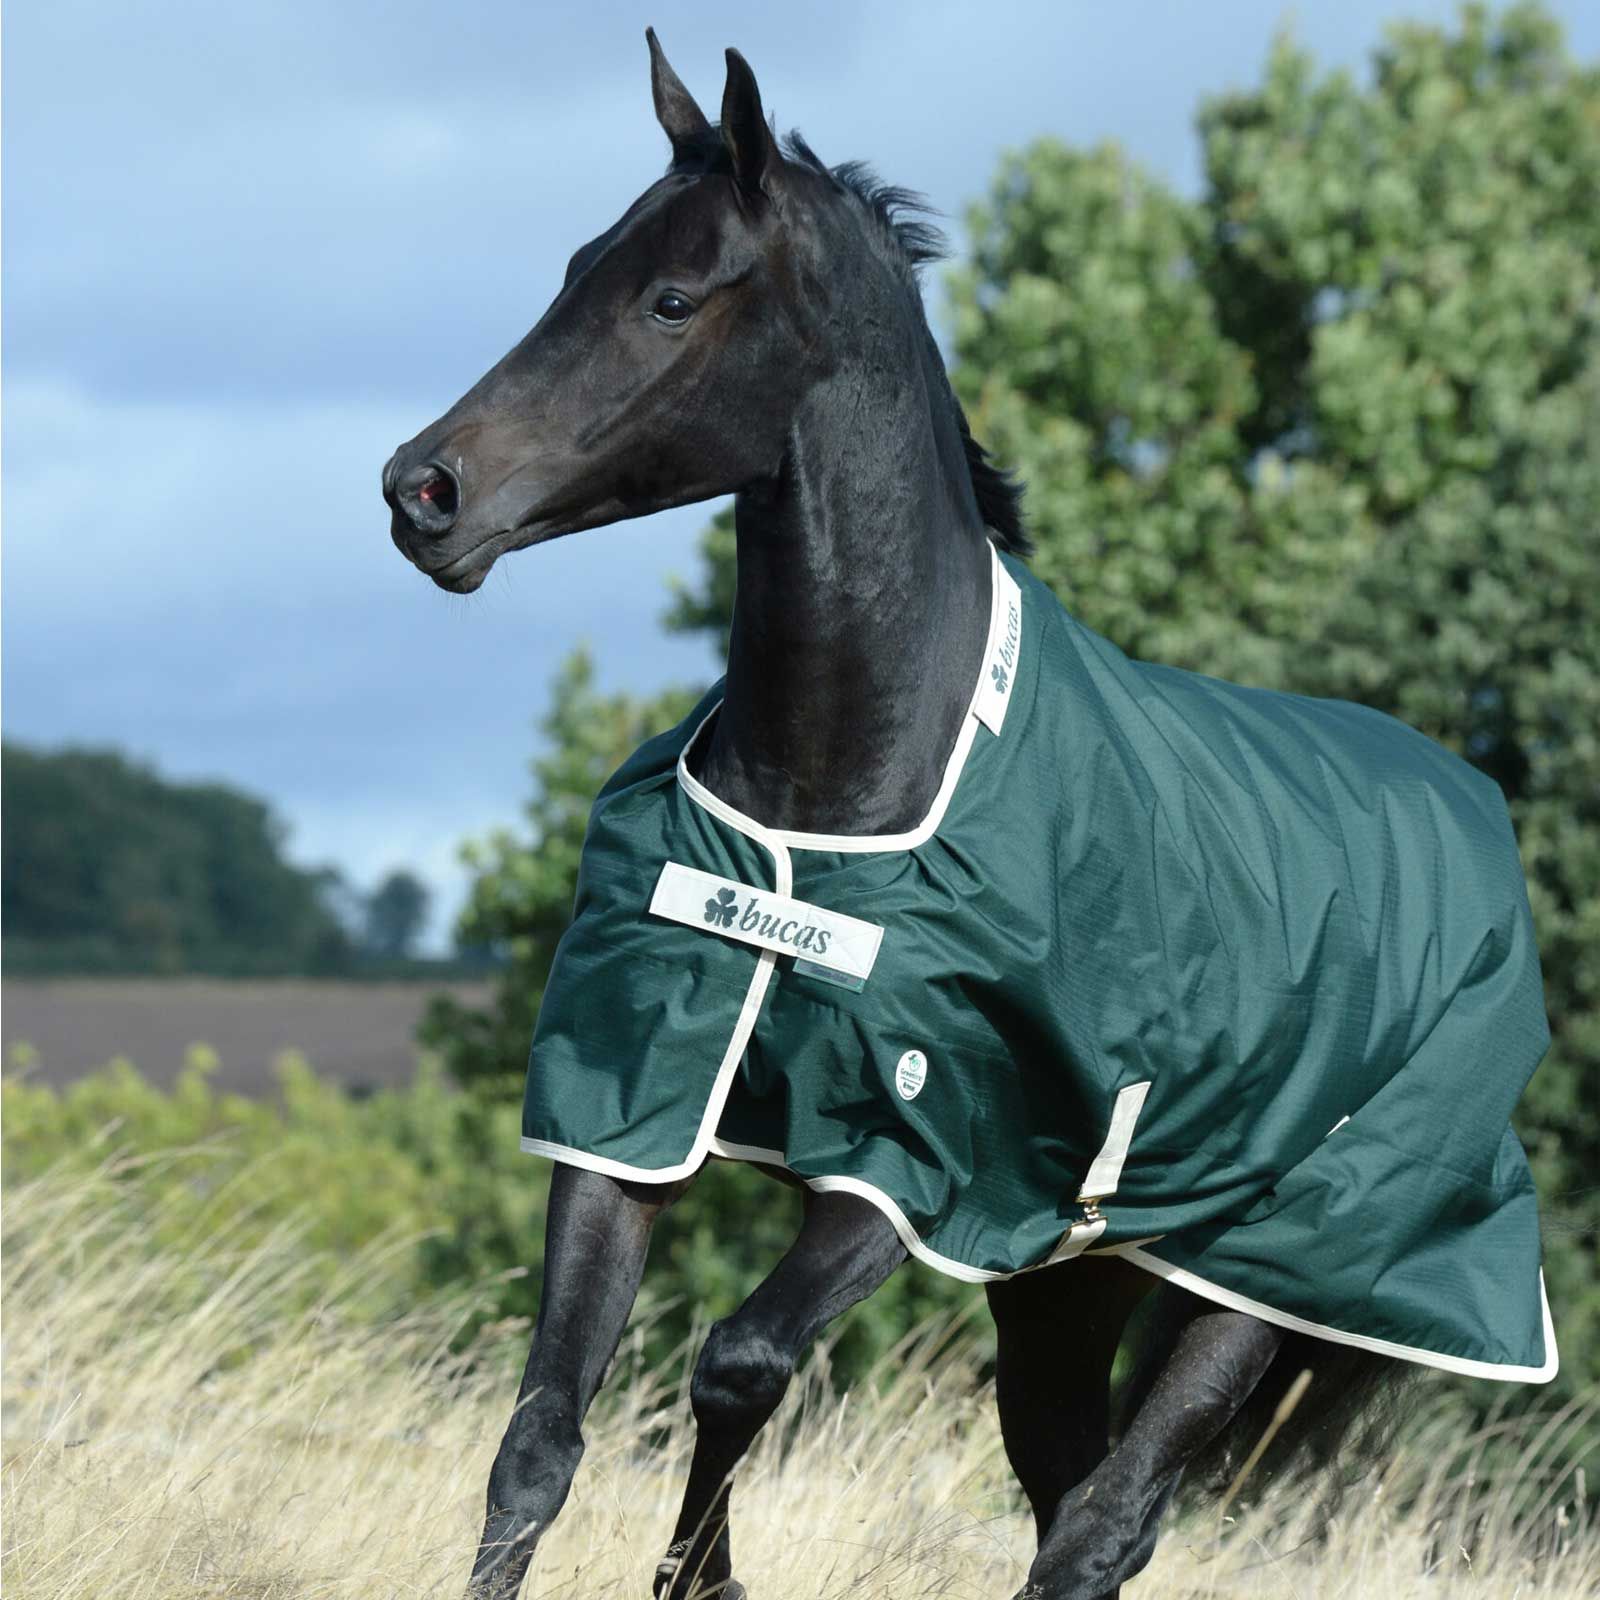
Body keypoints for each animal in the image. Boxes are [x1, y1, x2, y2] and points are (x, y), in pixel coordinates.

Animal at [383, 34, 1556, 1600]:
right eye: (578, 266)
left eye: (671, 297)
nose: (423, 491)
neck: (837, 809)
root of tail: (1476, 821)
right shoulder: (627, 1114)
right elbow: (537, 1440)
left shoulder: (926, 1167)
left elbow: (737, 1362)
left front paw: (707, 1575)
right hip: (1072, 1288)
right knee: (1073, 1499)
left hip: (1270, 1273)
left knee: (1106, 1522)